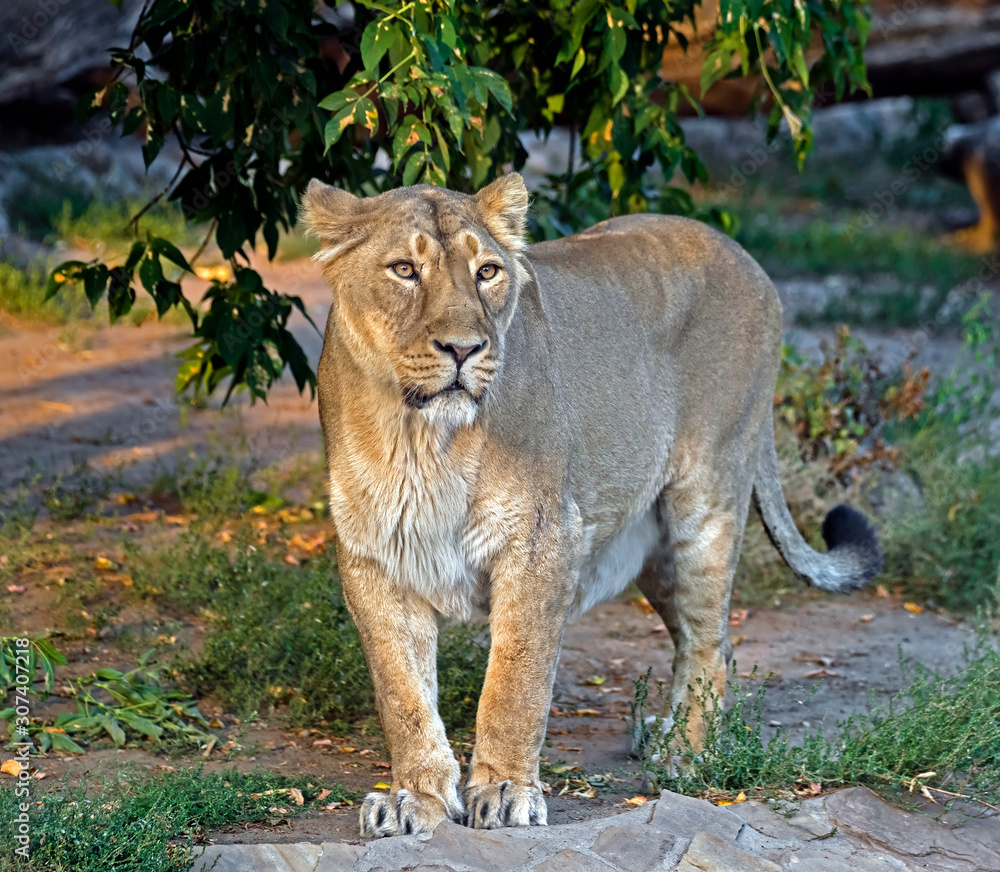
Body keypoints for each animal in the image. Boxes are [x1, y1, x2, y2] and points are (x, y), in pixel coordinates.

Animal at [300, 173, 882, 839]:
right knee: (716, 642)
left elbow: (516, 680)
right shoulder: (373, 556)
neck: (421, 439)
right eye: (404, 269)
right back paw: (671, 731)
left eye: (487, 272)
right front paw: (414, 799)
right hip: (653, 550)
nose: (464, 348)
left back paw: (686, 753)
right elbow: (402, 691)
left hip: (706, 496)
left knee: (708, 640)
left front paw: (505, 791)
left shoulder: (542, 538)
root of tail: (743, 255)